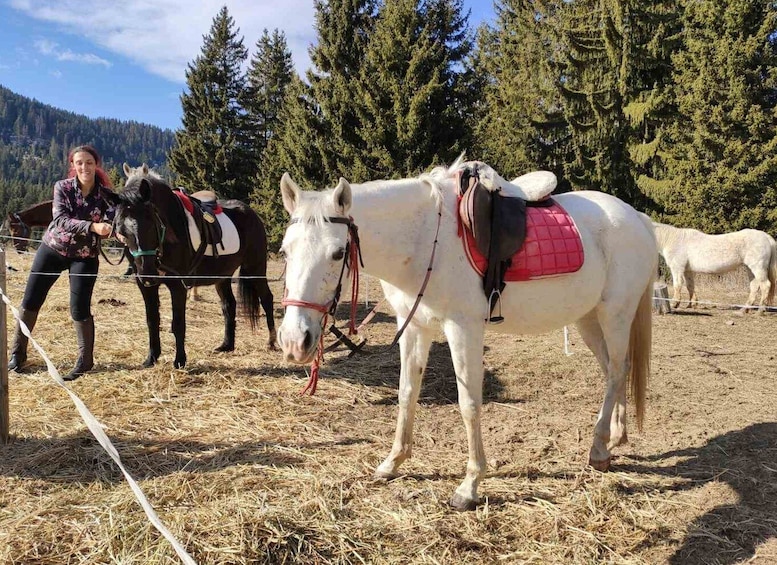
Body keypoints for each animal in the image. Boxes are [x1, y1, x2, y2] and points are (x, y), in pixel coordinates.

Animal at [105, 170, 276, 368]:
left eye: (151, 225)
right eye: (121, 230)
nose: (148, 272)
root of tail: (252, 213)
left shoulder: (178, 285)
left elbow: (178, 322)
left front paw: (180, 361)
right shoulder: (145, 287)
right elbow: (152, 320)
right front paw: (152, 358)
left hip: (255, 268)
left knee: (267, 299)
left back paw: (272, 341)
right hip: (222, 276)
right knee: (229, 305)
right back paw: (227, 345)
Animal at [278, 160, 656, 512]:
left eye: (338, 253)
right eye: (284, 251)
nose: (295, 341)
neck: (424, 239)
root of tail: (638, 218)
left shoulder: (463, 328)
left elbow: (469, 404)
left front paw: (469, 486)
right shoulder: (414, 327)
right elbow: (406, 393)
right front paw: (393, 463)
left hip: (616, 314)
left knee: (617, 371)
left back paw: (598, 449)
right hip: (588, 319)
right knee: (614, 370)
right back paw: (614, 438)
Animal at [648, 223, 776, 312]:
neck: (671, 240)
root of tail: (767, 237)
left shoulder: (677, 268)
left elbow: (677, 285)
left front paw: (675, 304)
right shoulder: (687, 270)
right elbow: (690, 286)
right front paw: (692, 304)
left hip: (758, 267)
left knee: (765, 285)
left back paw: (760, 310)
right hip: (750, 269)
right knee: (754, 286)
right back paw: (745, 309)